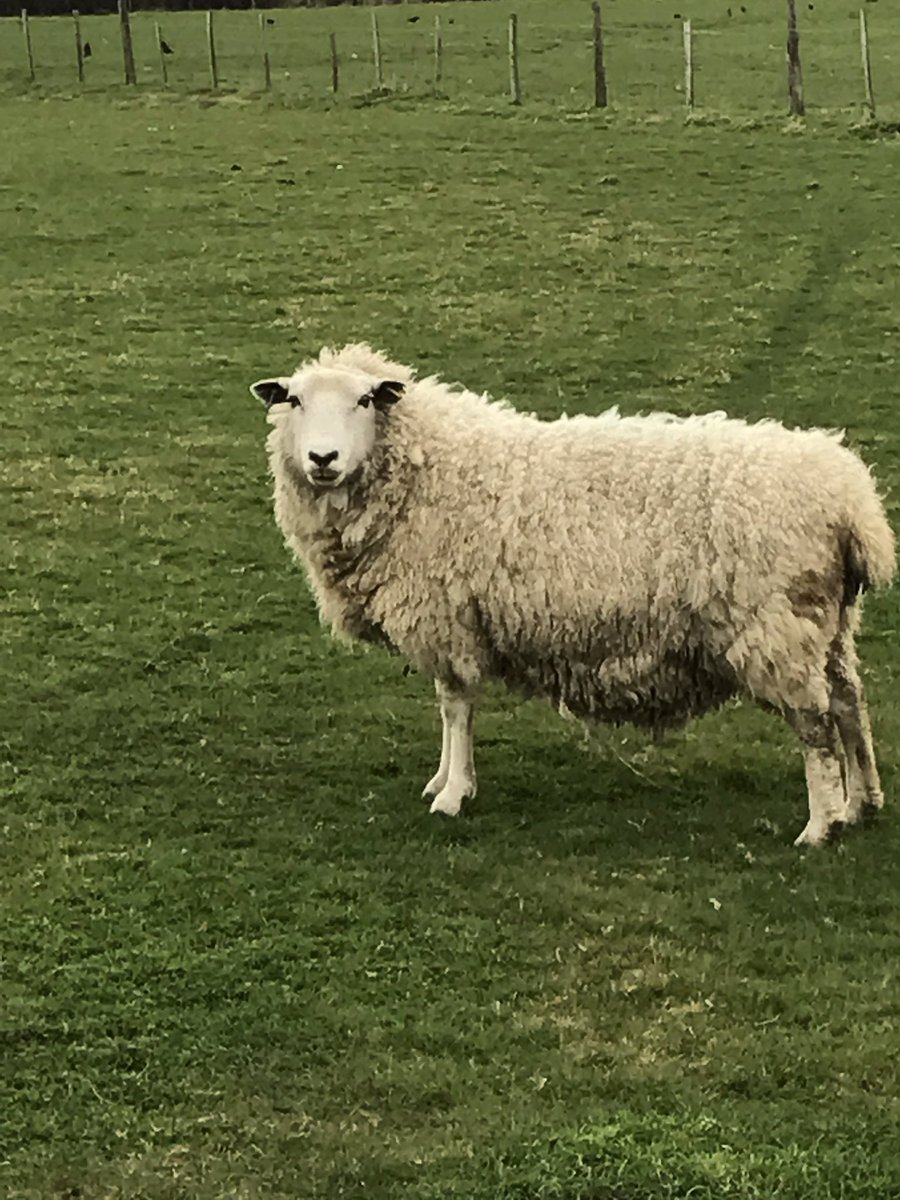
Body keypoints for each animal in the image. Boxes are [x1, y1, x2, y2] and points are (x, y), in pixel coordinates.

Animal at [250, 344, 895, 848]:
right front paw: (445, 779)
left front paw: (453, 792)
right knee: (850, 705)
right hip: (828, 624)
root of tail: (852, 503)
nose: (323, 459)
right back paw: (862, 803)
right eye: (295, 401)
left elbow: (456, 706)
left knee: (816, 726)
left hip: (777, 627)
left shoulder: (448, 616)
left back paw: (820, 825)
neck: (427, 469)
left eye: (365, 401)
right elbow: (449, 706)